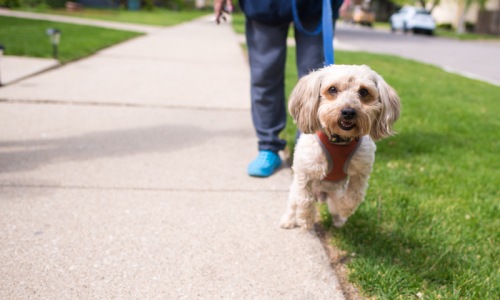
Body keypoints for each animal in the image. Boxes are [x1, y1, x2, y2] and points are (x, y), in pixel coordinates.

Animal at [280, 65, 400, 230]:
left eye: (364, 91)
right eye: (332, 89)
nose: (348, 112)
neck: (339, 141)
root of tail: (322, 195)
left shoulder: (361, 172)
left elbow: (354, 196)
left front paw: (345, 209)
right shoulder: (305, 170)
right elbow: (305, 199)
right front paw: (306, 219)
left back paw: (339, 220)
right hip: (294, 192)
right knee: (293, 205)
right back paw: (289, 220)